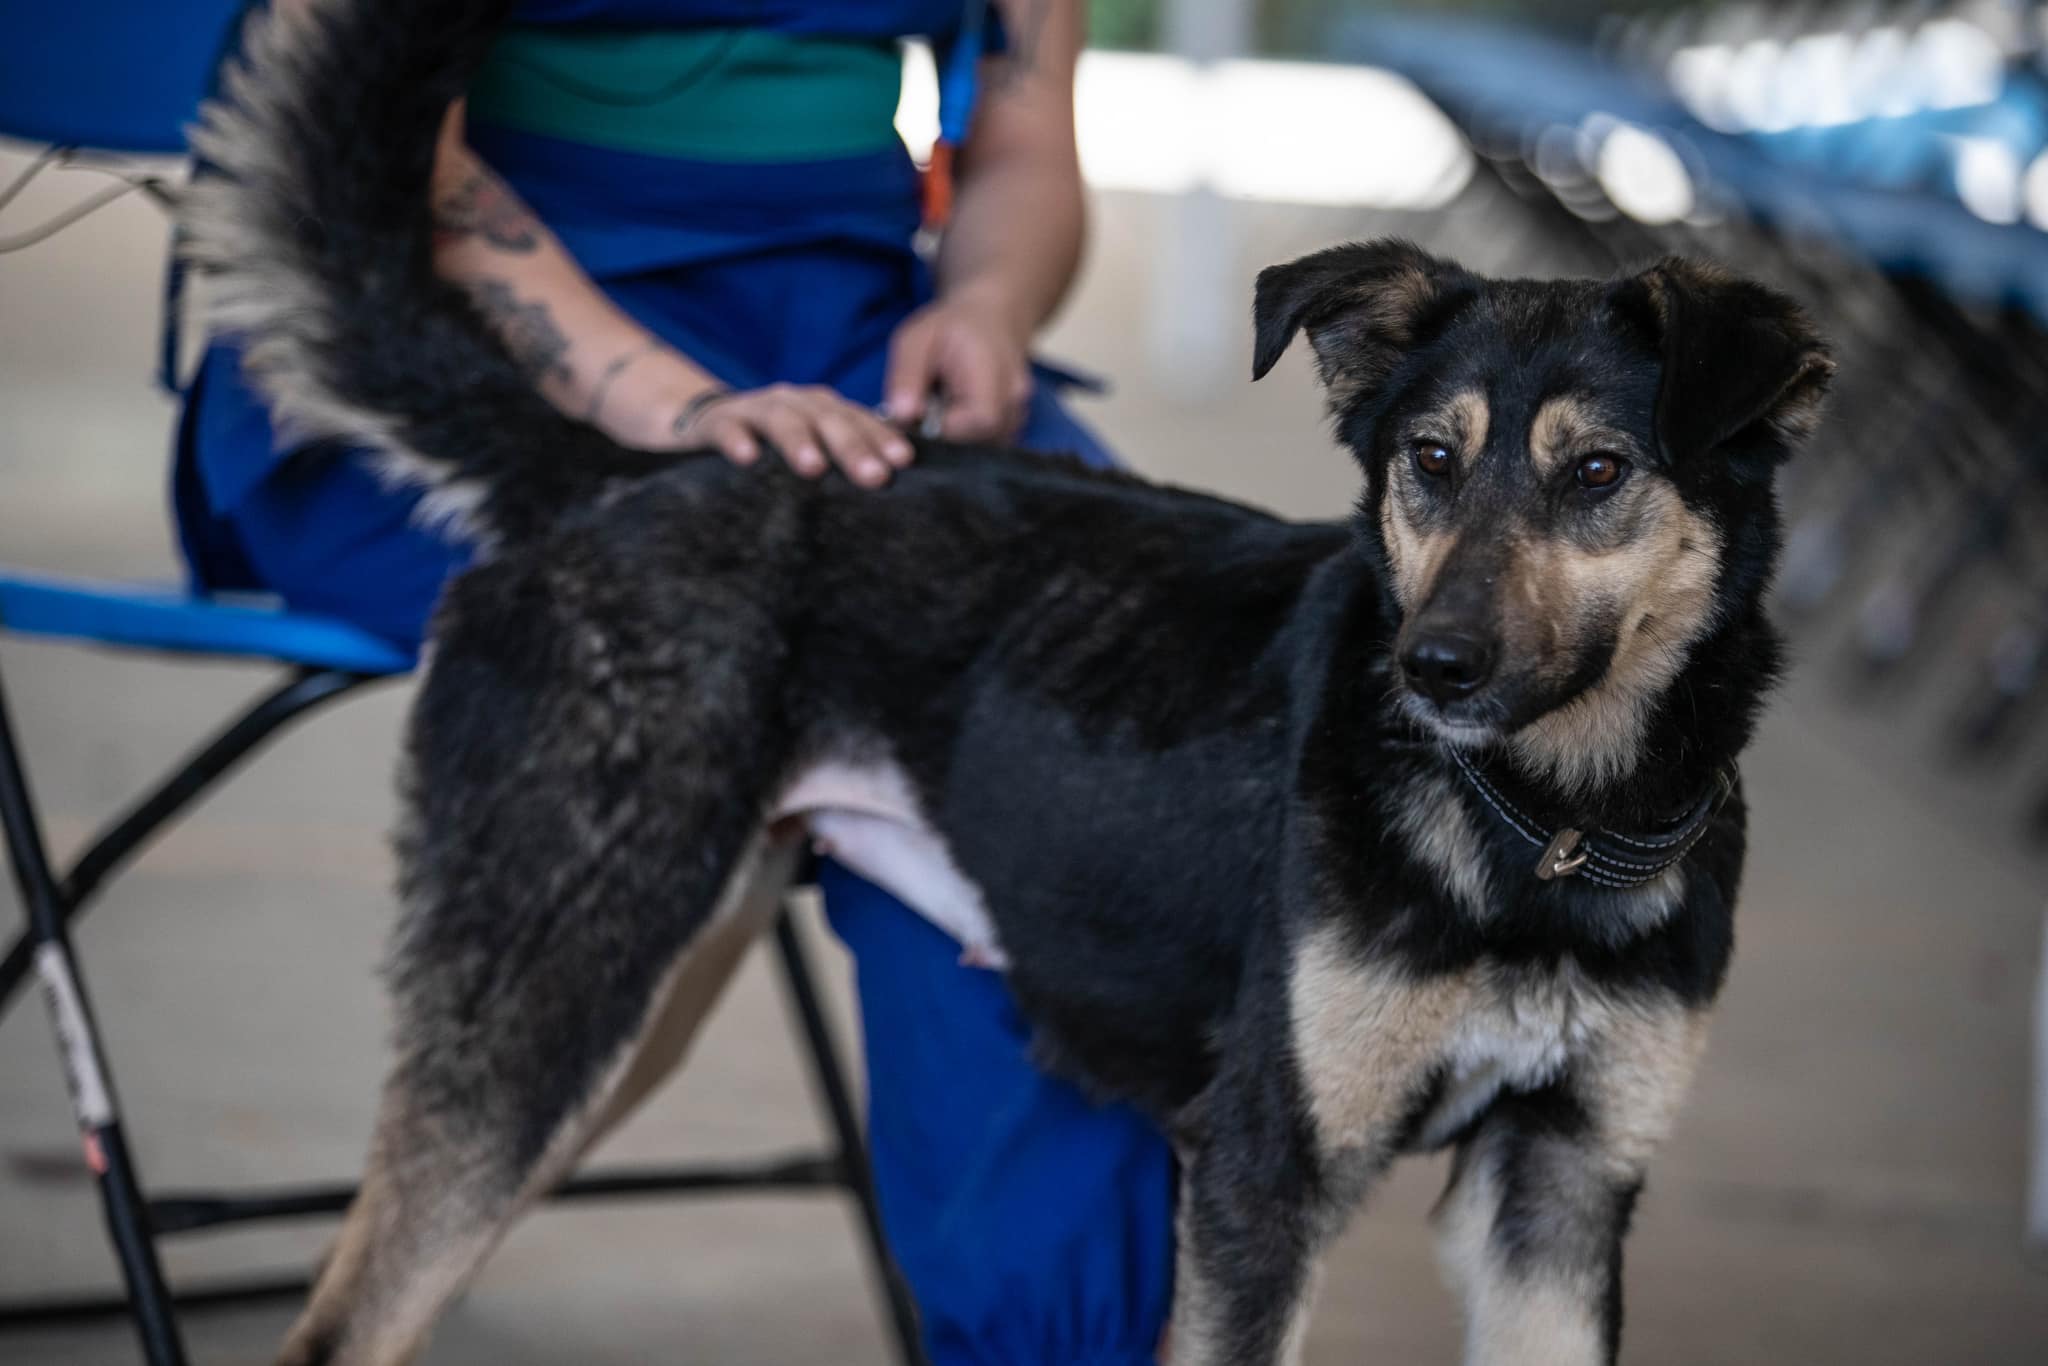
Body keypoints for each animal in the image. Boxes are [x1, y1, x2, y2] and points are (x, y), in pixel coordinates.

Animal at [184, 5, 1835, 1359]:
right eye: (1430, 460)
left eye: (1598, 473)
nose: (1427, 670)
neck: (1545, 824)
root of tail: (631, 470)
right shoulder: (1264, 1179)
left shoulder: (1557, 1200)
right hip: (551, 998)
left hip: (633, 1001)